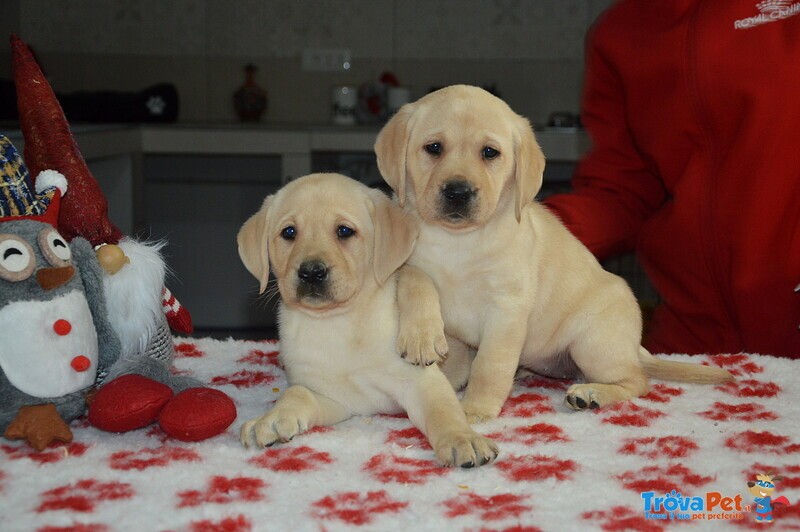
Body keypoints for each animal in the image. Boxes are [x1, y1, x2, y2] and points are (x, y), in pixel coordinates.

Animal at [234, 172, 496, 468]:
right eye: (289, 232)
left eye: (344, 231)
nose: (311, 272)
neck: (338, 323)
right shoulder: (333, 397)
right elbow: (297, 393)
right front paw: (272, 419)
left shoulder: (421, 382)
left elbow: (443, 412)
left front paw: (462, 439)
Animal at [376, 85, 732, 422]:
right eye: (434, 148)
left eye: (490, 153)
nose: (458, 192)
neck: (457, 241)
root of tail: (634, 346)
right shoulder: (410, 265)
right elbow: (416, 281)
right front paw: (422, 336)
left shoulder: (507, 309)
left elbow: (490, 365)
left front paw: (476, 409)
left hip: (594, 343)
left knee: (637, 381)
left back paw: (591, 394)